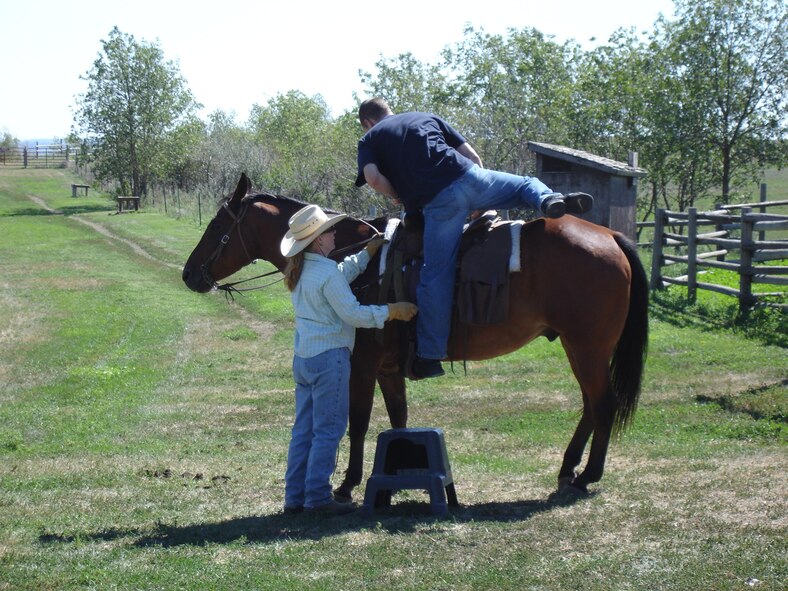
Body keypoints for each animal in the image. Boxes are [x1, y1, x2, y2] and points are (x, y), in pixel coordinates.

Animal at [183, 175, 648, 500]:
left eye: (218, 223)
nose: (189, 274)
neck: (354, 263)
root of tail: (610, 236)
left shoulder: (362, 366)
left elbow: (358, 423)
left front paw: (348, 484)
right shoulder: (388, 370)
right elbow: (398, 421)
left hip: (586, 348)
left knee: (603, 404)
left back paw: (587, 475)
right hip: (581, 348)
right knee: (591, 406)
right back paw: (570, 468)